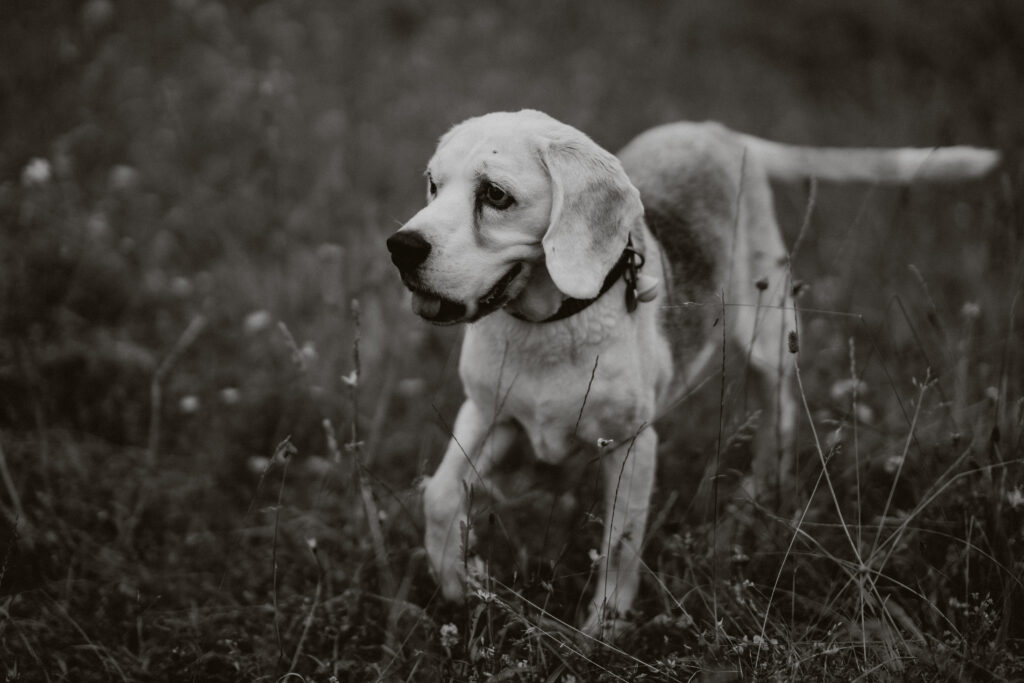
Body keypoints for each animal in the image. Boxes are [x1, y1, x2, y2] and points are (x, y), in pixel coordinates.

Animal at [385, 109, 999, 638]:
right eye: (433, 185)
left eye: (496, 195)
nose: (400, 247)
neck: (547, 326)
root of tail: (714, 130)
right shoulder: (487, 413)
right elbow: (439, 496)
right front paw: (459, 583)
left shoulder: (630, 444)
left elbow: (619, 543)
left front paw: (601, 631)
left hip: (771, 330)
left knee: (779, 409)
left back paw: (764, 492)